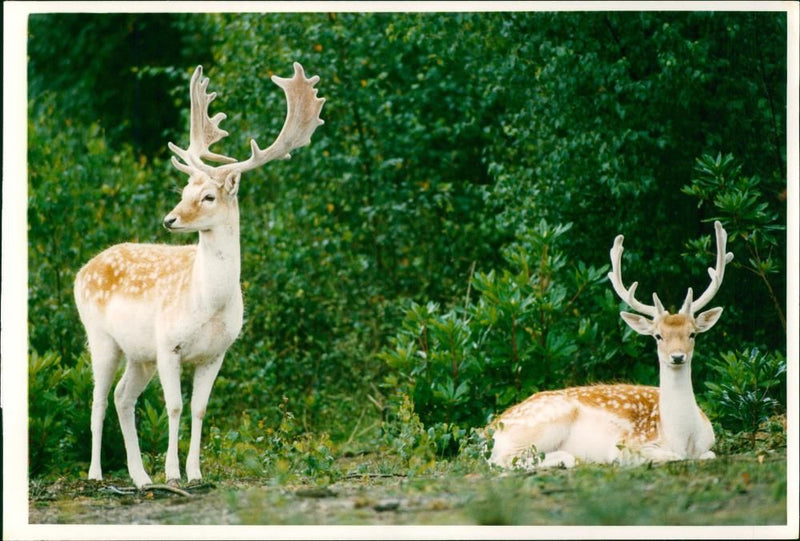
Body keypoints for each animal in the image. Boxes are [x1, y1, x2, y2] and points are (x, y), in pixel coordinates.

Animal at [74, 62, 324, 486]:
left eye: (207, 196)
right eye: (183, 192)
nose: (169, 219)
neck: (209, 302)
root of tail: (82, 270)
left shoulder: (216, 352)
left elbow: (199, 409)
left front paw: (194, 472)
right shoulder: (168, 345)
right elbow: (174, 407)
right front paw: (173, 473)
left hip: (139, 355)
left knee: (123, 396)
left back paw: (140, 477)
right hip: (101, 338)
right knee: (97, 400)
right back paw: (96, 474)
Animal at [484, 221, 736, 466]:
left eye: (692, 334)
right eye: (658, 335)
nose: (677, 356)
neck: (682, 437)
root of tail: (489, 430)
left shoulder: (708, 445)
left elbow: (709, 455)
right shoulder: (626, 446)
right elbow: (669, 456)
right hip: (542, 423)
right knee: (503, 459)